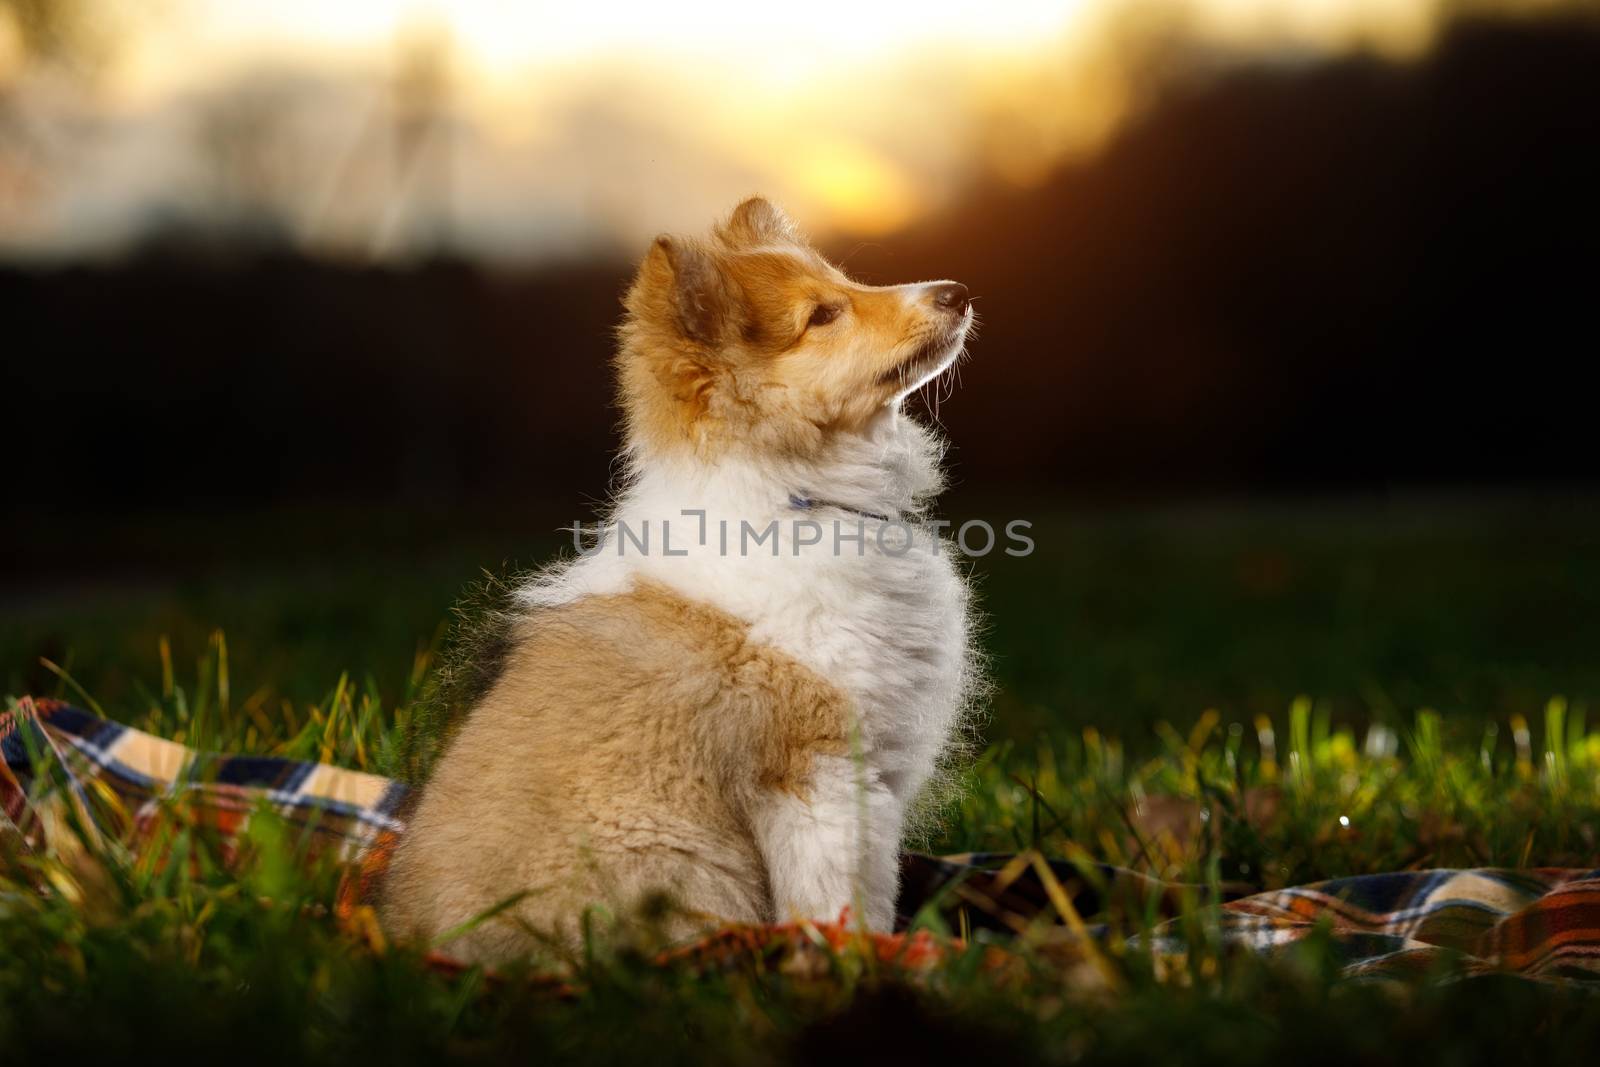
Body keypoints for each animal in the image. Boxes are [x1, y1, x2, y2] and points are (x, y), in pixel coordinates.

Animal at [380, 195, 979, 966]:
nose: (957, 292)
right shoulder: (821, 776)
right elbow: (842, 905)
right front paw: (857, 965)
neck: (794, 497)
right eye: (822, 315)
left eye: (845, 282)